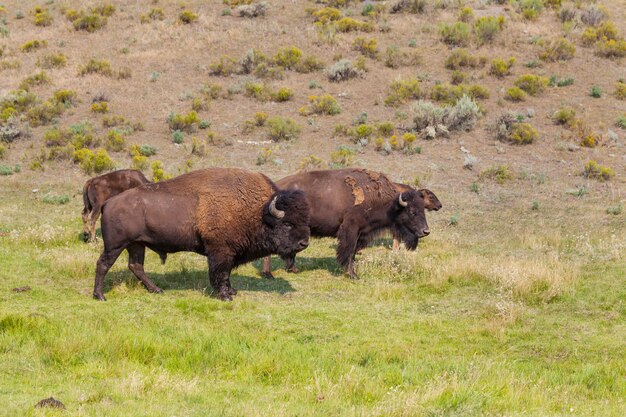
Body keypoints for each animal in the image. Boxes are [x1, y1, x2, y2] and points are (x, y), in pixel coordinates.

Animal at [93, 166, 310, 300]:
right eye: (287, 224)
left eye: (305, 220)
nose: (304, 243)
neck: (259, 211)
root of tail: (108, 202)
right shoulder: (220, 251)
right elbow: (220, 273)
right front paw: (225, 296)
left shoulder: (229, 253)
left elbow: (226, 274)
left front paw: (232, 291)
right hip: (115, 245)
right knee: (103, 264)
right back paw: (100, 296)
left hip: (136, 245)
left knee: (136, 266)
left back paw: (157, 290)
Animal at [258, 169, 438, 280]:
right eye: (412, 212)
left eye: (423, 210)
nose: (426, 231)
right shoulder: (351, 229)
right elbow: (349, 251)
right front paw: (353, 275)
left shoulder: (362, 233)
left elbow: (353, 252)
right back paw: (269, 274)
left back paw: (292, 269)